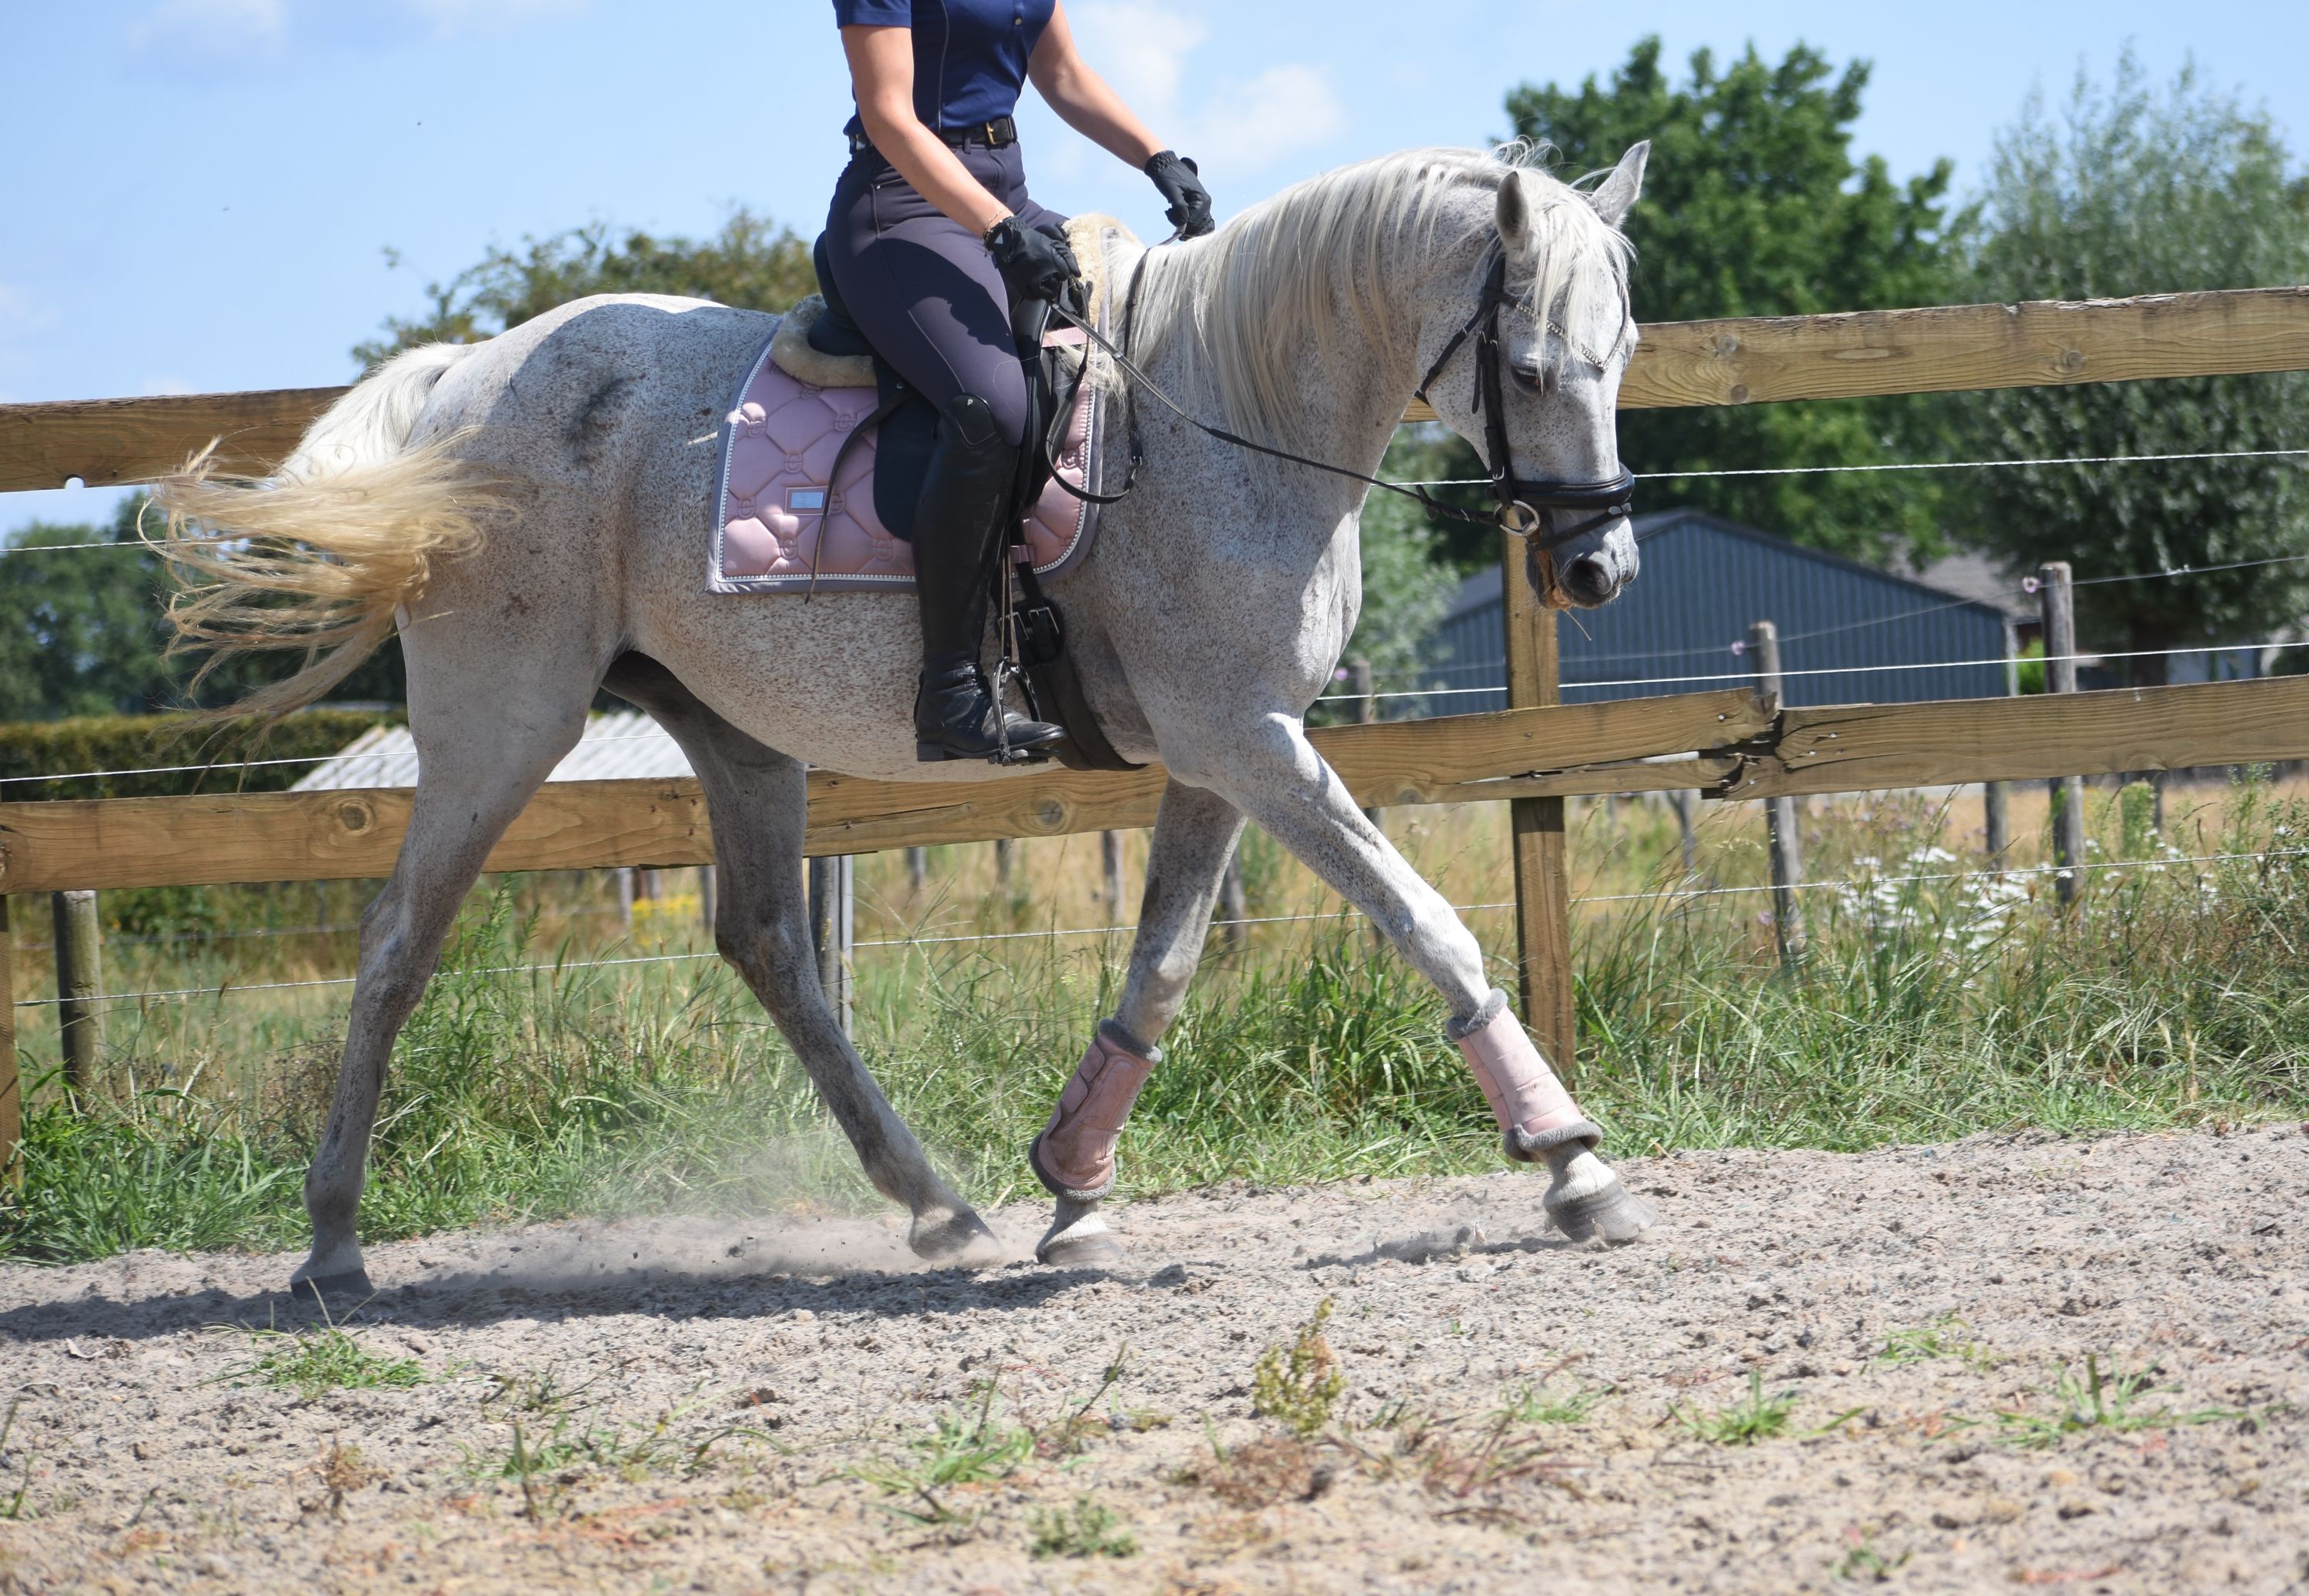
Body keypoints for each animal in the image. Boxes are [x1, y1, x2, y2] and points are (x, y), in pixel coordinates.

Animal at [157, 141, 1655, 1292]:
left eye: (1623, 351)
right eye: (1529, 367)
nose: (1597, 569)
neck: (1222, 414)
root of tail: (468, 377)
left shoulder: (1229, 750)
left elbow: (1160, 969)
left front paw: (1075, 1184)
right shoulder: (1249, 741)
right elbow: (1429, 923)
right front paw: (1571, 1157)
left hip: (735, 730)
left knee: (768, 943)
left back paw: (940, 1202)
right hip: (500, 719)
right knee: (399, 942)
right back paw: (333, 1243)